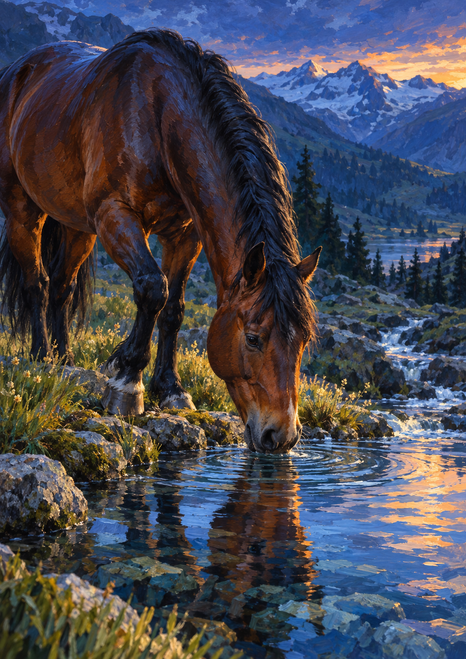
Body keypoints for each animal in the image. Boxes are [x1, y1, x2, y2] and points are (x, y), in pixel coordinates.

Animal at [0, 29, 321, 454]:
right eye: (253, 338)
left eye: (303, 341)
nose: (281, 436)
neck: (157, 115)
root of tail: (17, 71)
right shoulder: (116, 215)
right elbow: (153, 288)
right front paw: (126, 382)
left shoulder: (184, 234)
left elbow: (174, 308)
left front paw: (169, 388)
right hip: (23, 210)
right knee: (36, 283)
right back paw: (42, 356)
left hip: (77, 227)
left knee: (61, 287)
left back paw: (65, 358)